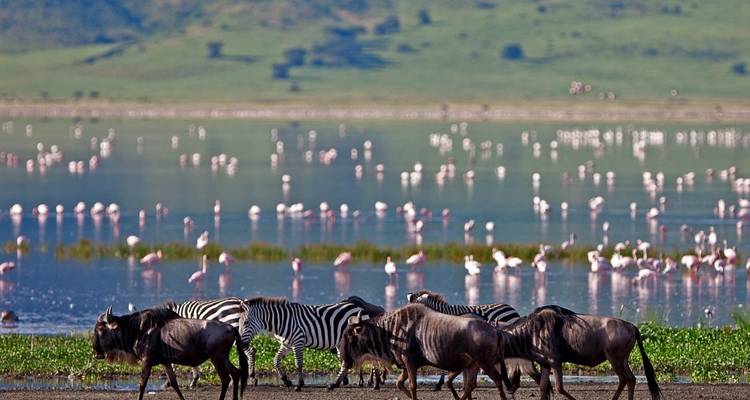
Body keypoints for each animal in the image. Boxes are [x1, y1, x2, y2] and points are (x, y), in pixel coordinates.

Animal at [238, 295, 385, 391]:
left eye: (246, 323)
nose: (241, 344)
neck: (282, 321)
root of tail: (360, 308)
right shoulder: (286, 344)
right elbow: (276, 360)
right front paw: (286, 380)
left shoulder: (298, 341)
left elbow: (298, 364)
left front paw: (299, 385)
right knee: (347, 363)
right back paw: (335, 384)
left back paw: (376, 384)